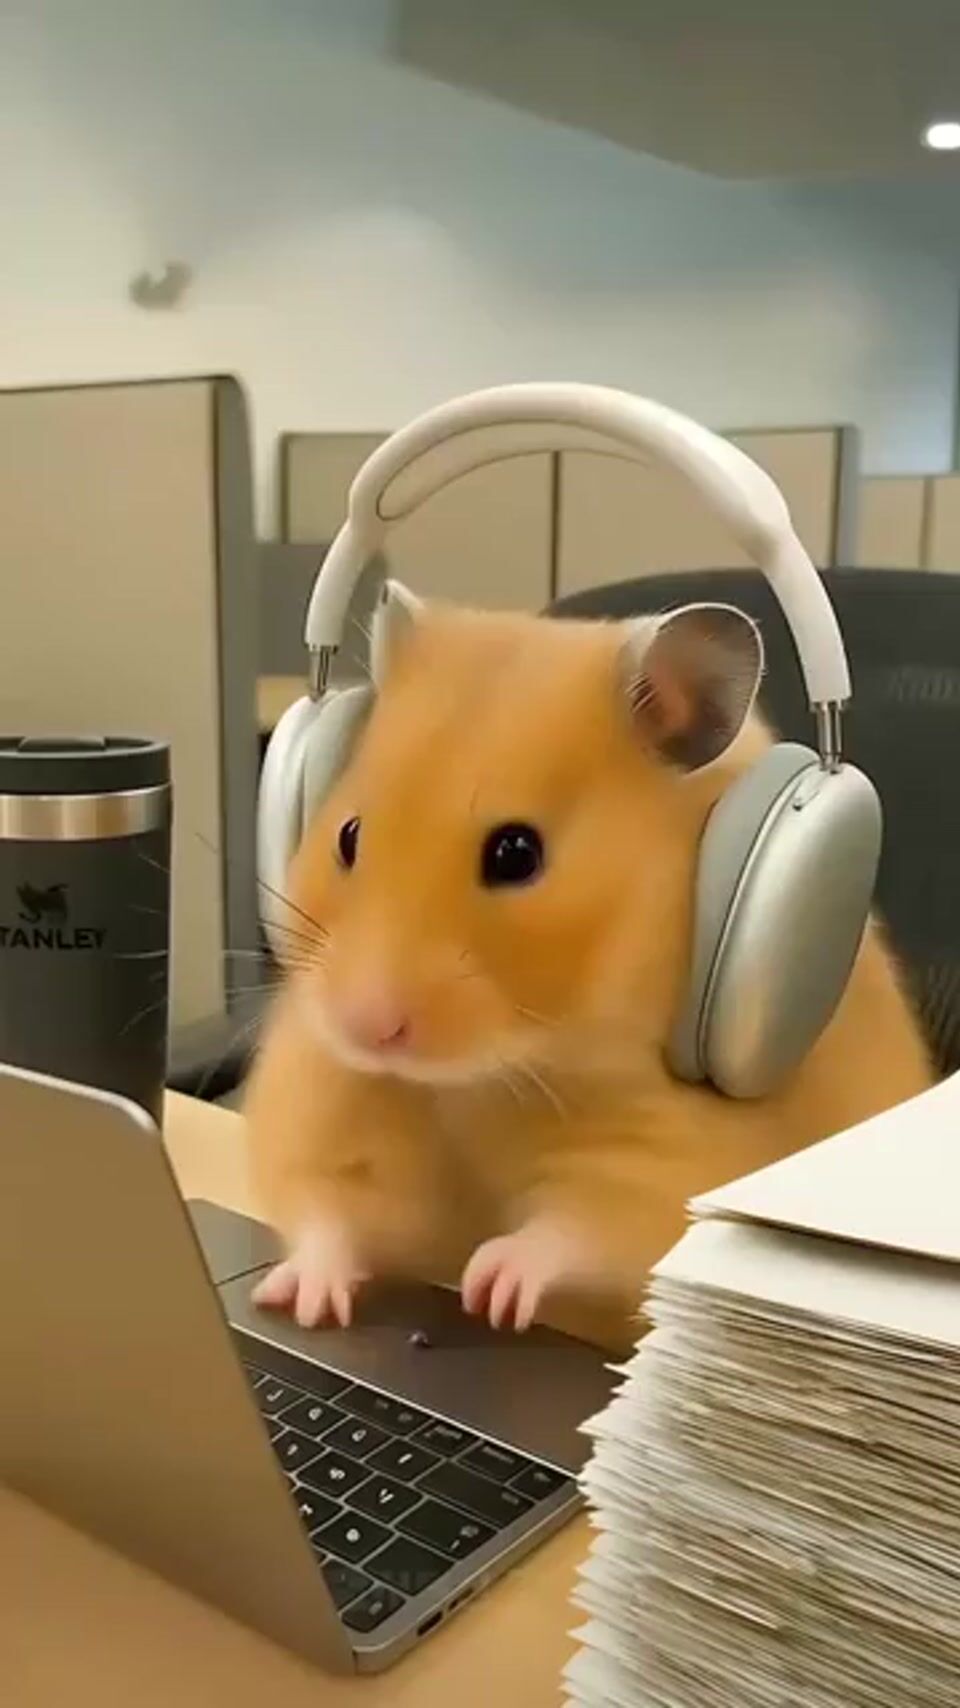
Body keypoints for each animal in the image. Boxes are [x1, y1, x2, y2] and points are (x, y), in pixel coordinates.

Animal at [245, 588, 932, 1350]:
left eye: (517, 854)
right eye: (349, 834)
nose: (368, 1028)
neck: (480, 1084)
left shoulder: (660, 1158)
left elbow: (579, 1231)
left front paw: (490, 1292)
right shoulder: (319, 1089)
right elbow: (319, 1201)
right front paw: (302, 1302)